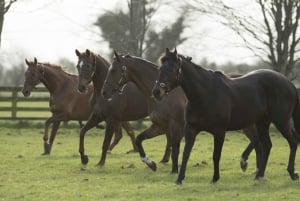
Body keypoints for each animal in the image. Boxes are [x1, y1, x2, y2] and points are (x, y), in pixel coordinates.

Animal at [102, 49, 258, 173]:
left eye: (113, 70)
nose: (104, 92)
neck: (166, 96)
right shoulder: (160, 126)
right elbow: (140, 139)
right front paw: (151, 164)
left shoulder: (175, 126)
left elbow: (175, 150)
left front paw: (174, 170)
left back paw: (247, 164)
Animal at [152, 48, 300, 184]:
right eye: (160, 68)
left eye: (172, 69)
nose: (156, 92)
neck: (205, 94)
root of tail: (289, 83)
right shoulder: (190, 130)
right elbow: (186, 154)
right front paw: (179, 179)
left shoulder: (219, 132)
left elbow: (216, 155)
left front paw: (215, 178)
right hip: (262, 123)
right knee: (267, 145)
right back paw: (259, 175)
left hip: (281, 121)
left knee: (292, 142)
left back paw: (292, 173)